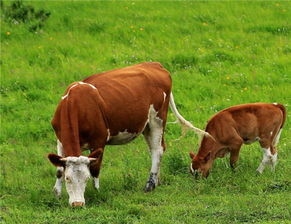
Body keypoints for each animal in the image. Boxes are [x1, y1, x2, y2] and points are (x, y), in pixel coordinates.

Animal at [48, 62, 208, 207]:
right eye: (68, 178)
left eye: (86, 179)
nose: (78, 204)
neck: (76, 104)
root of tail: (155, 64)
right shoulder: (60, 140)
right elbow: (59, 169)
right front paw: (57, 194)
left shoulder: (99, 141)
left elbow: (95, 169)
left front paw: (96, 192)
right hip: (146, 125)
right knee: (156, 148)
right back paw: (157, 181)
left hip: (157, 119)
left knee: (157, 150)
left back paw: (149, 185)